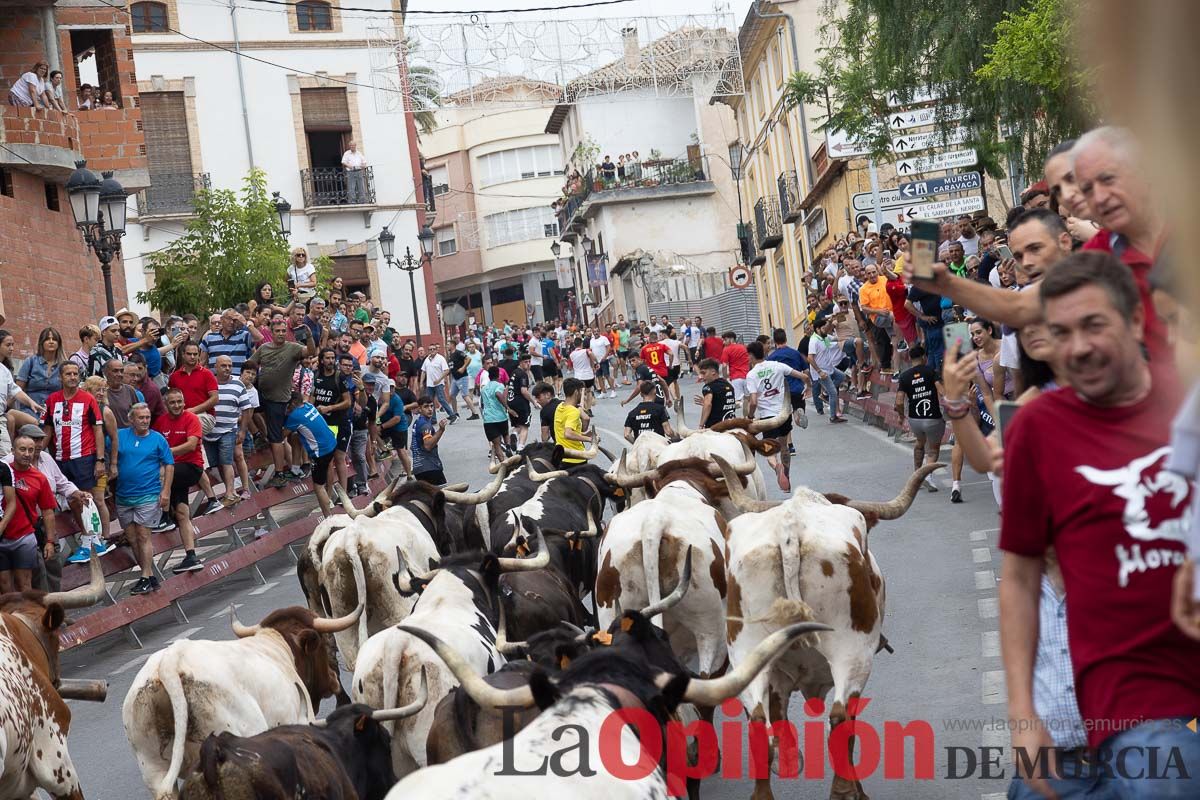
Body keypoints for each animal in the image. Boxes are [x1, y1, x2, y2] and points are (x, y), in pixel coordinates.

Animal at [710, 455, 936, 800]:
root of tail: (790, 531)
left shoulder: (777, 678)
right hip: (852, 653)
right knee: (840, 719)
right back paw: (844, 790)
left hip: (746, 654)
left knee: (759, 723)